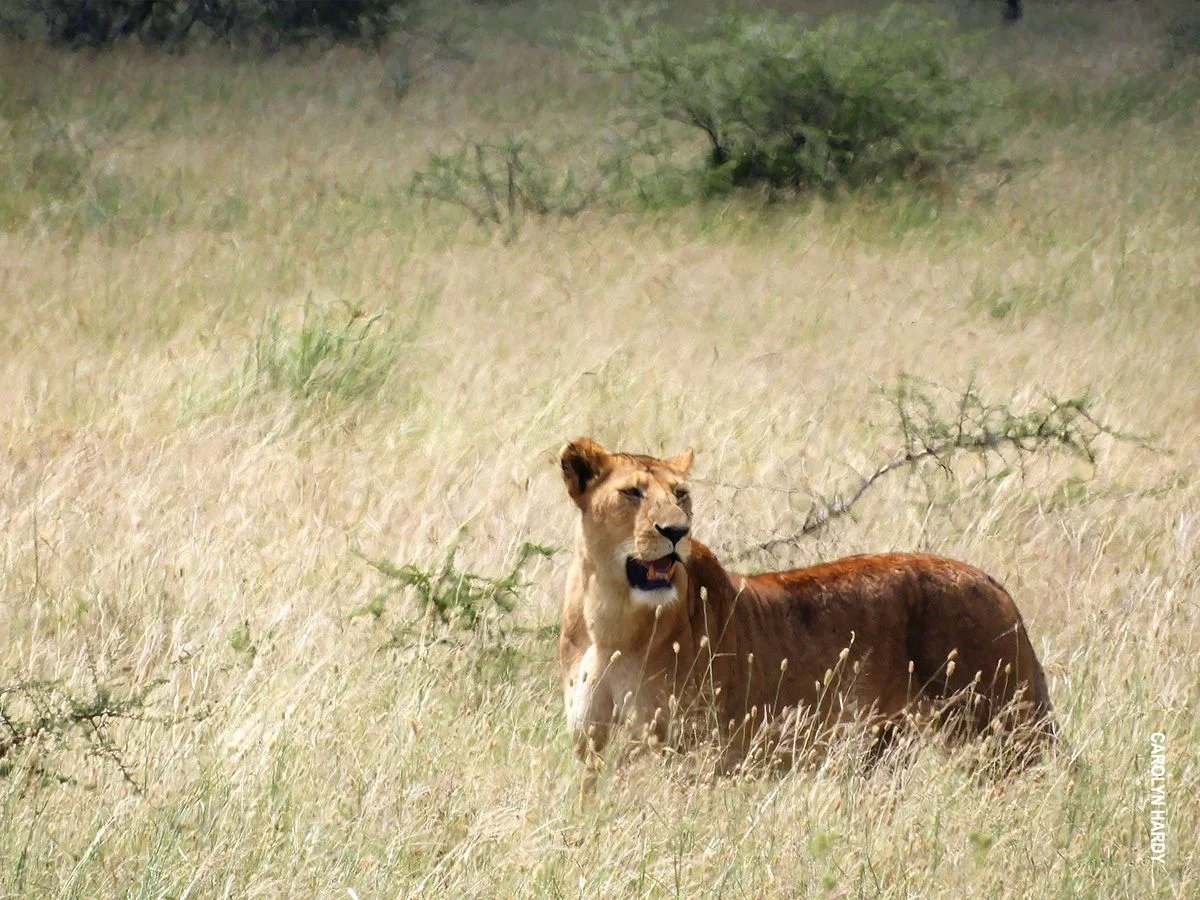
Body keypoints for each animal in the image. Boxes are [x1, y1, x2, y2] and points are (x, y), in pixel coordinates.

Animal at [557, 438, 1056, 784]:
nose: (677, 531)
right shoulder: (592, 751)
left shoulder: (683, 753)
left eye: (680, 494)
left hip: (1004, 731)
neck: (611, 621)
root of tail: (992, 583)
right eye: (632, 493)